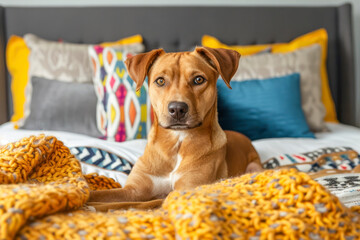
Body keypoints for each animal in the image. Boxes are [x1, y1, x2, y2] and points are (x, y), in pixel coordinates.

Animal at [88, 47, 262, 202]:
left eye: (199, 79)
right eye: (160, 81)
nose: (177, 109)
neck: (177, 142)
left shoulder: (186, 190)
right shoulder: (133, 190)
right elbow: (99, 196)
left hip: (254, 168)